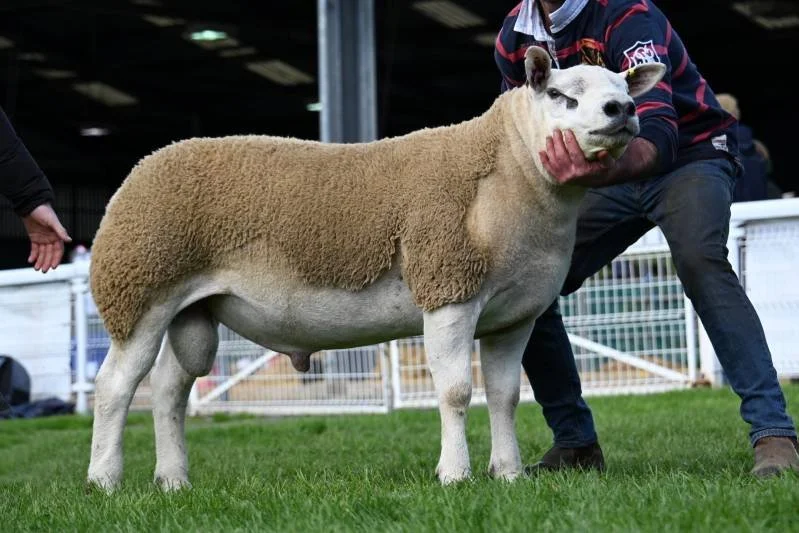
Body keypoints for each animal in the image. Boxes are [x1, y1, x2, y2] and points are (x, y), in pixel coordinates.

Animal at [86, 46, 665, 491]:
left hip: (192, 311)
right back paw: (104, 481)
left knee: (168, 390)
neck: (510, 171)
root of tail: (143, 167)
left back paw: (173, 480)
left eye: (621, 84)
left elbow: (505, 396)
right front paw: (455, 475)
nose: (622, 108)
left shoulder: (514, 315)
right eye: (562, 94)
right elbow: (456, 391)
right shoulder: (447, 287)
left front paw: (509, 474)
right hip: (139, 292)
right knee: (114, 387)